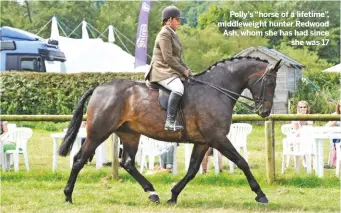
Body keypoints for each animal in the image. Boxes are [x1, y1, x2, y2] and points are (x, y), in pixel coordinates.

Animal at [59, 56, 280, 205]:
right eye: (270, 82)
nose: (265, 112)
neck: (216, 90)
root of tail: (98, 88)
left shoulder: (203, 142)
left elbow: (192, 170)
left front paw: (173, 195)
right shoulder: (217, 138)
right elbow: (242, 162)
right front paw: (260, 194)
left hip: (130, 134)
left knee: (128, 163)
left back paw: (152, 193)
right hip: (98, 133)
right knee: (79, 159)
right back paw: (68, 195)